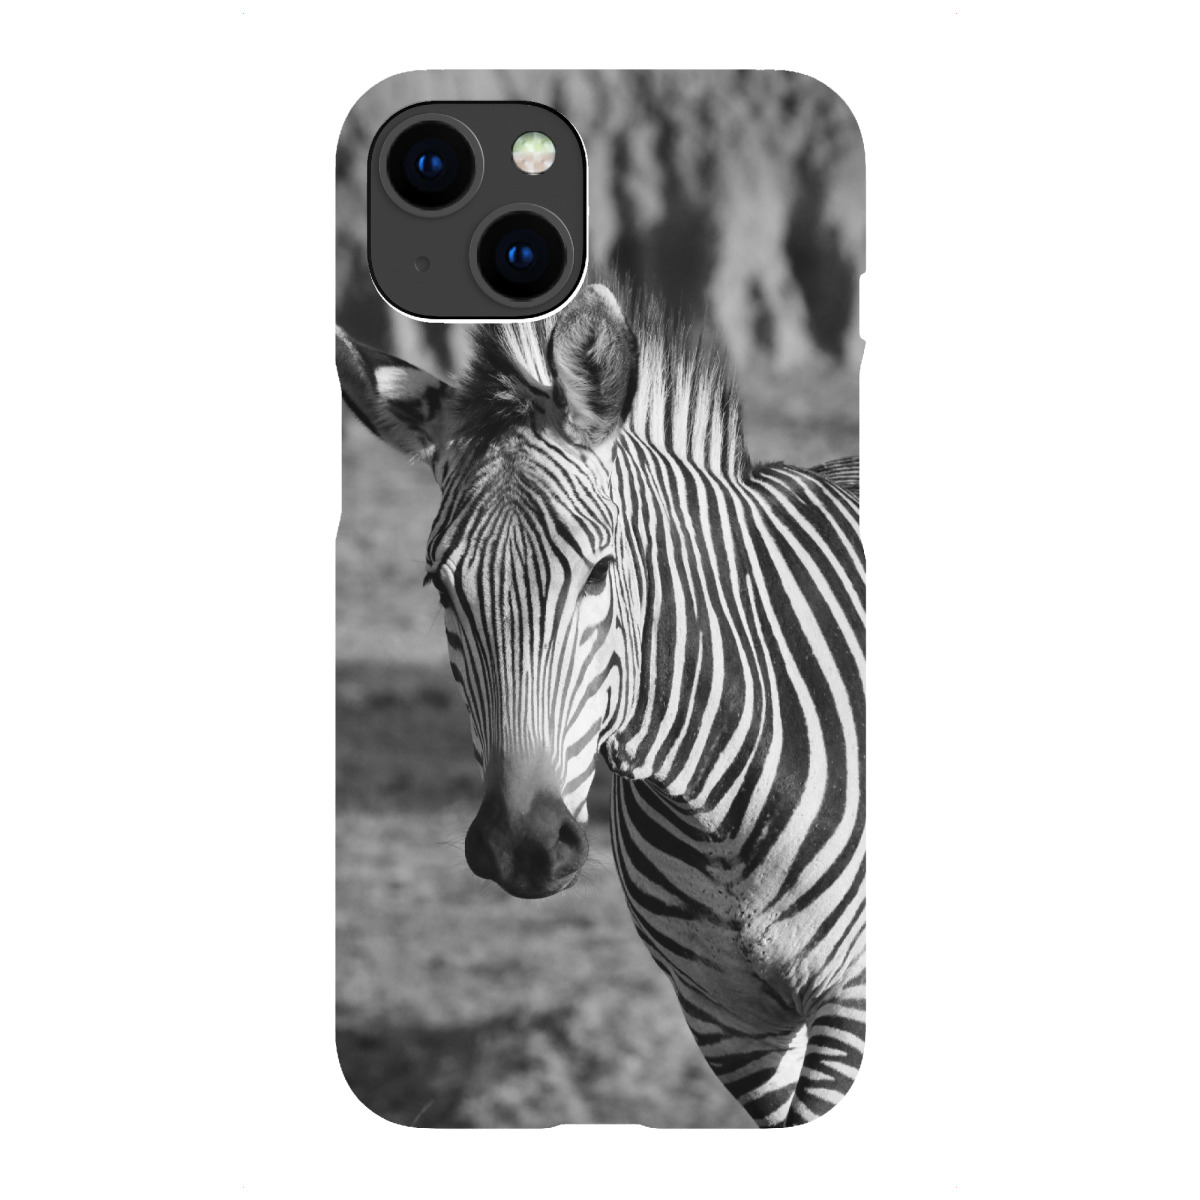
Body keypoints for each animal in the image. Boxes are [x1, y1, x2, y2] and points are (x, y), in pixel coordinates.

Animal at [336, 282, 865, 1127]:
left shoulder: (851, 1000)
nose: (521, 846)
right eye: (440, 586)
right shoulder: (727, 1021)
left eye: (598, 573)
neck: (714, 811)